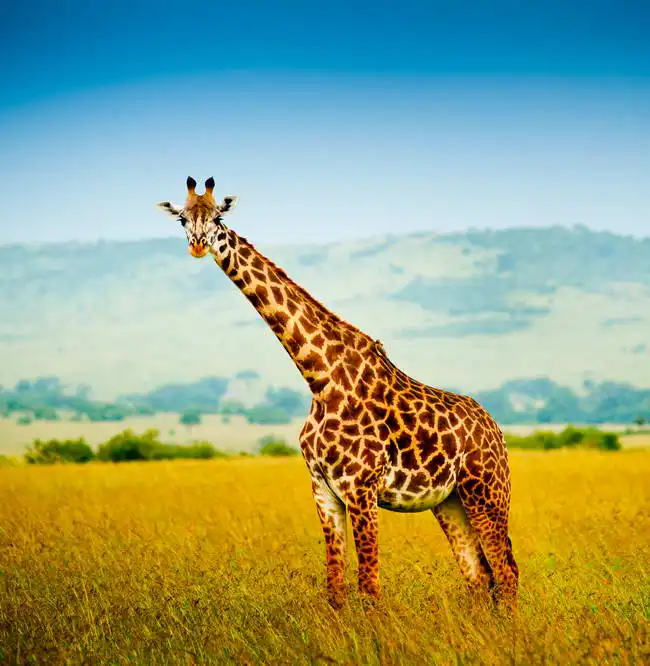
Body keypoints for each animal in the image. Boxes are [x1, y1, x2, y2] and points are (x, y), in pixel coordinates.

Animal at [157, 177, 519, 612]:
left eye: (218, 217)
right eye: (182, 219)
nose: (197, 245)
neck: (319, 376)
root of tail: (496, 429)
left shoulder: (361, 488)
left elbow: (369, 586)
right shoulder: (323, 490)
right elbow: (335, 586)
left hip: (487, 491)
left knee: (507, 572)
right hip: (449, 501)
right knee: (479, 576)